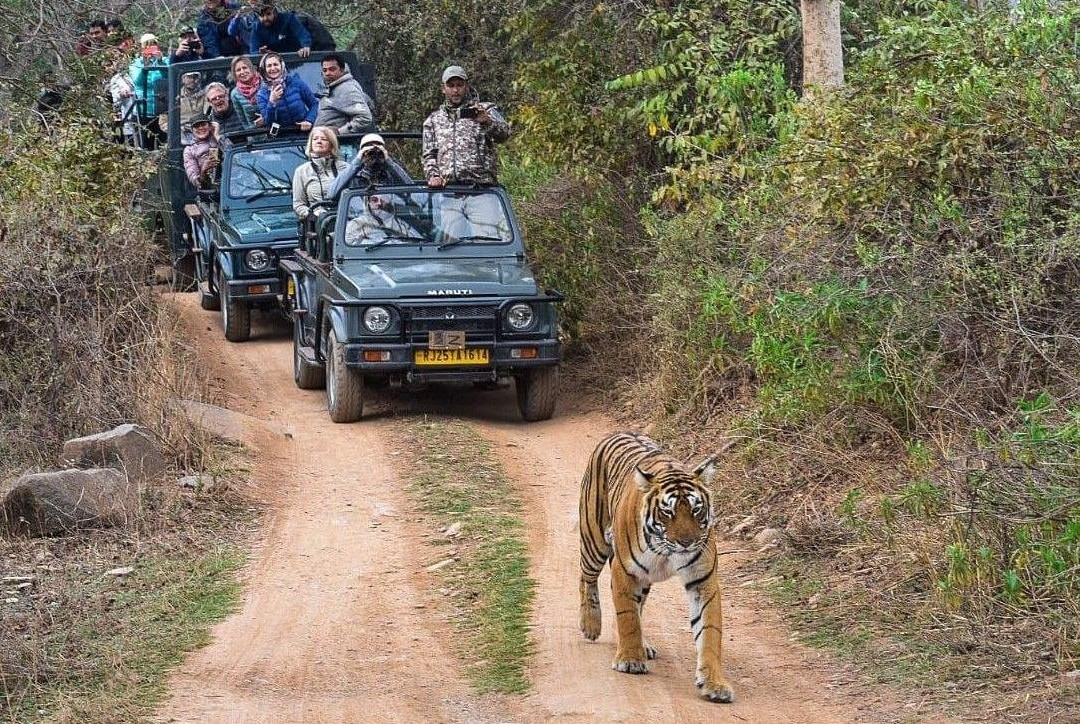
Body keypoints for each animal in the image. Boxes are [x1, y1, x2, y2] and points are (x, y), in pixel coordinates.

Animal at [574, 432, 734, 704]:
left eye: (696, 509)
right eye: (667, 511)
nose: (687, 542)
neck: (667, 551)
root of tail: (618, 432)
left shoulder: (703, 581)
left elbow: (710, 631)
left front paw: (714, 683)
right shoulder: (625, 571)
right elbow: (627, 616)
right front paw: (630, 660)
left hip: (643, 579)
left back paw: (643, 644)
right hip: (594, 540)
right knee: (586, 578)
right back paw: (591, 624)